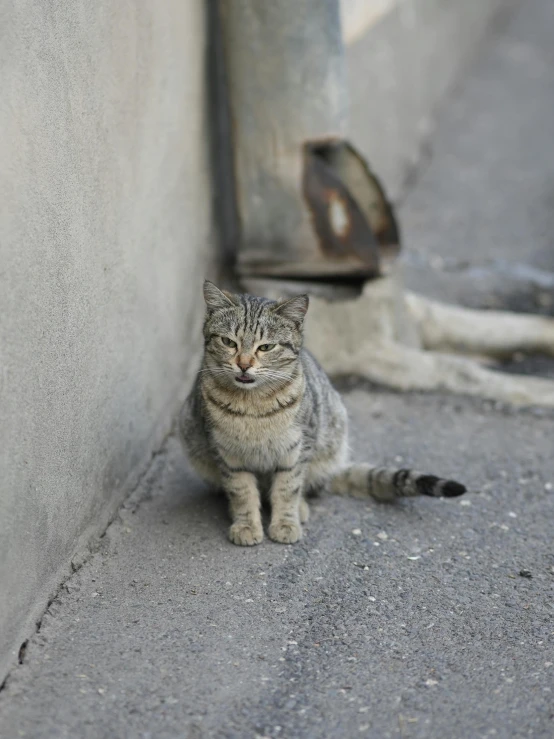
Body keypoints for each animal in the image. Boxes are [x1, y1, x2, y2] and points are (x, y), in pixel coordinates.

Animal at [179, 280, 464, 548]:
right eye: (228, 342)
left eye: (266, 347)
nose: (244, 365)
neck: (252, 406)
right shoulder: (226, 454)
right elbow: (242, 492)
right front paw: (246, 525)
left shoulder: (298, 448)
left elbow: (287, 489)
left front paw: (285, 522)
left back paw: (301, 508)